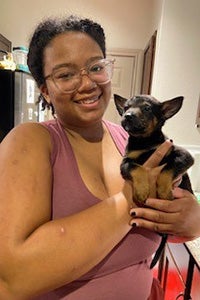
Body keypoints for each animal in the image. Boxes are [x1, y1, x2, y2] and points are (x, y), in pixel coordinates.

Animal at [114, 94, 194, 268]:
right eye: (126, 107)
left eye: (147, 108)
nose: (127, 116)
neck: (144, 142)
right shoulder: (126, 162)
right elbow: (137, 168)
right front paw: (142, 190)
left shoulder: (183, 156)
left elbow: (168, 168)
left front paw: (163, 192)